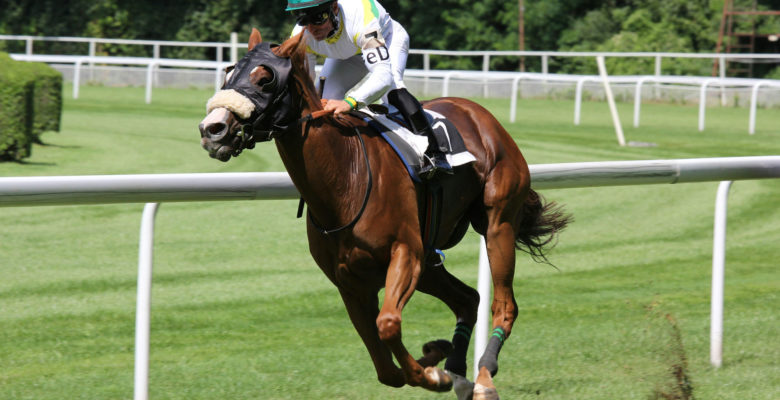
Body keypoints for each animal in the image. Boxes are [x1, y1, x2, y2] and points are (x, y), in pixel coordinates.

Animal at [199, 28, 570, 399]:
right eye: (228, 73)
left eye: (265, 79)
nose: (212, 129)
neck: (345, 178)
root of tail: (479, 113)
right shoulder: (350, 282)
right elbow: (384, 366)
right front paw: (435, 359)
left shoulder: (406, 253)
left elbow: (388, 325)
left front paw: (433, 375)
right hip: (430, 262)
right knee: (468, 299)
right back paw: (457, 370)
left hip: (497, 223)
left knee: (504, 305)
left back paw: (482, 378)